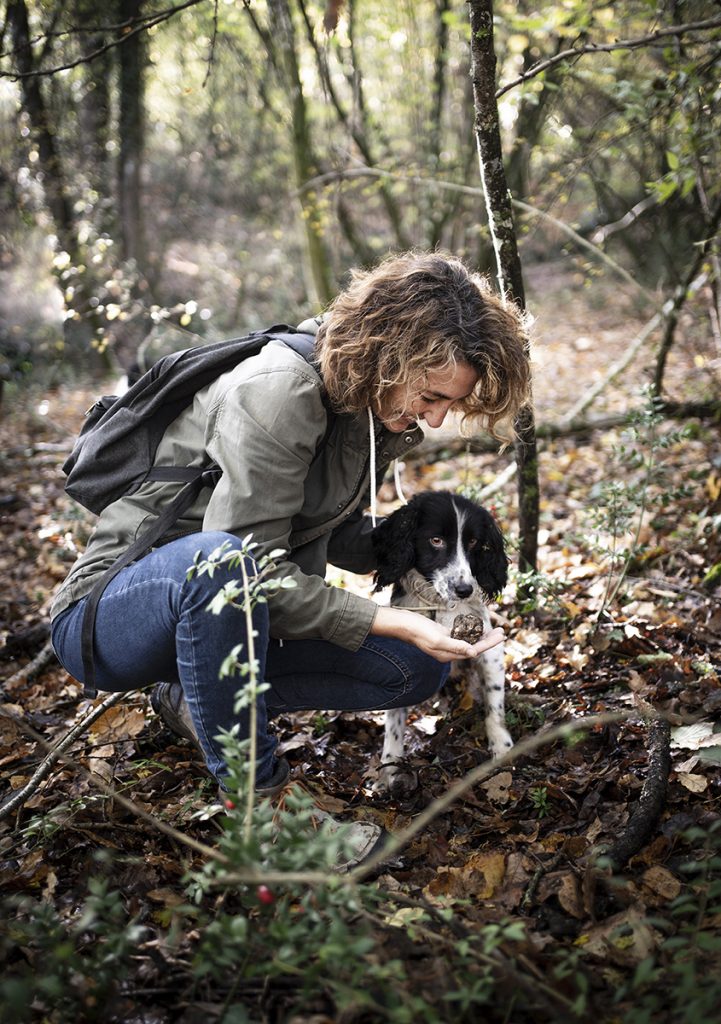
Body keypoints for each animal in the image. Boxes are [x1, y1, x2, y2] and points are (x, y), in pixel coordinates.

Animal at [372, 491, 512, 794]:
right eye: (436, 540)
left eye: (473, 542)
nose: (464, 590)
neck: (440, 606)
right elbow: (393, 724)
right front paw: (389, 768)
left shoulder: (491, 650)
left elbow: (495, 707)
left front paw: (502, 747)